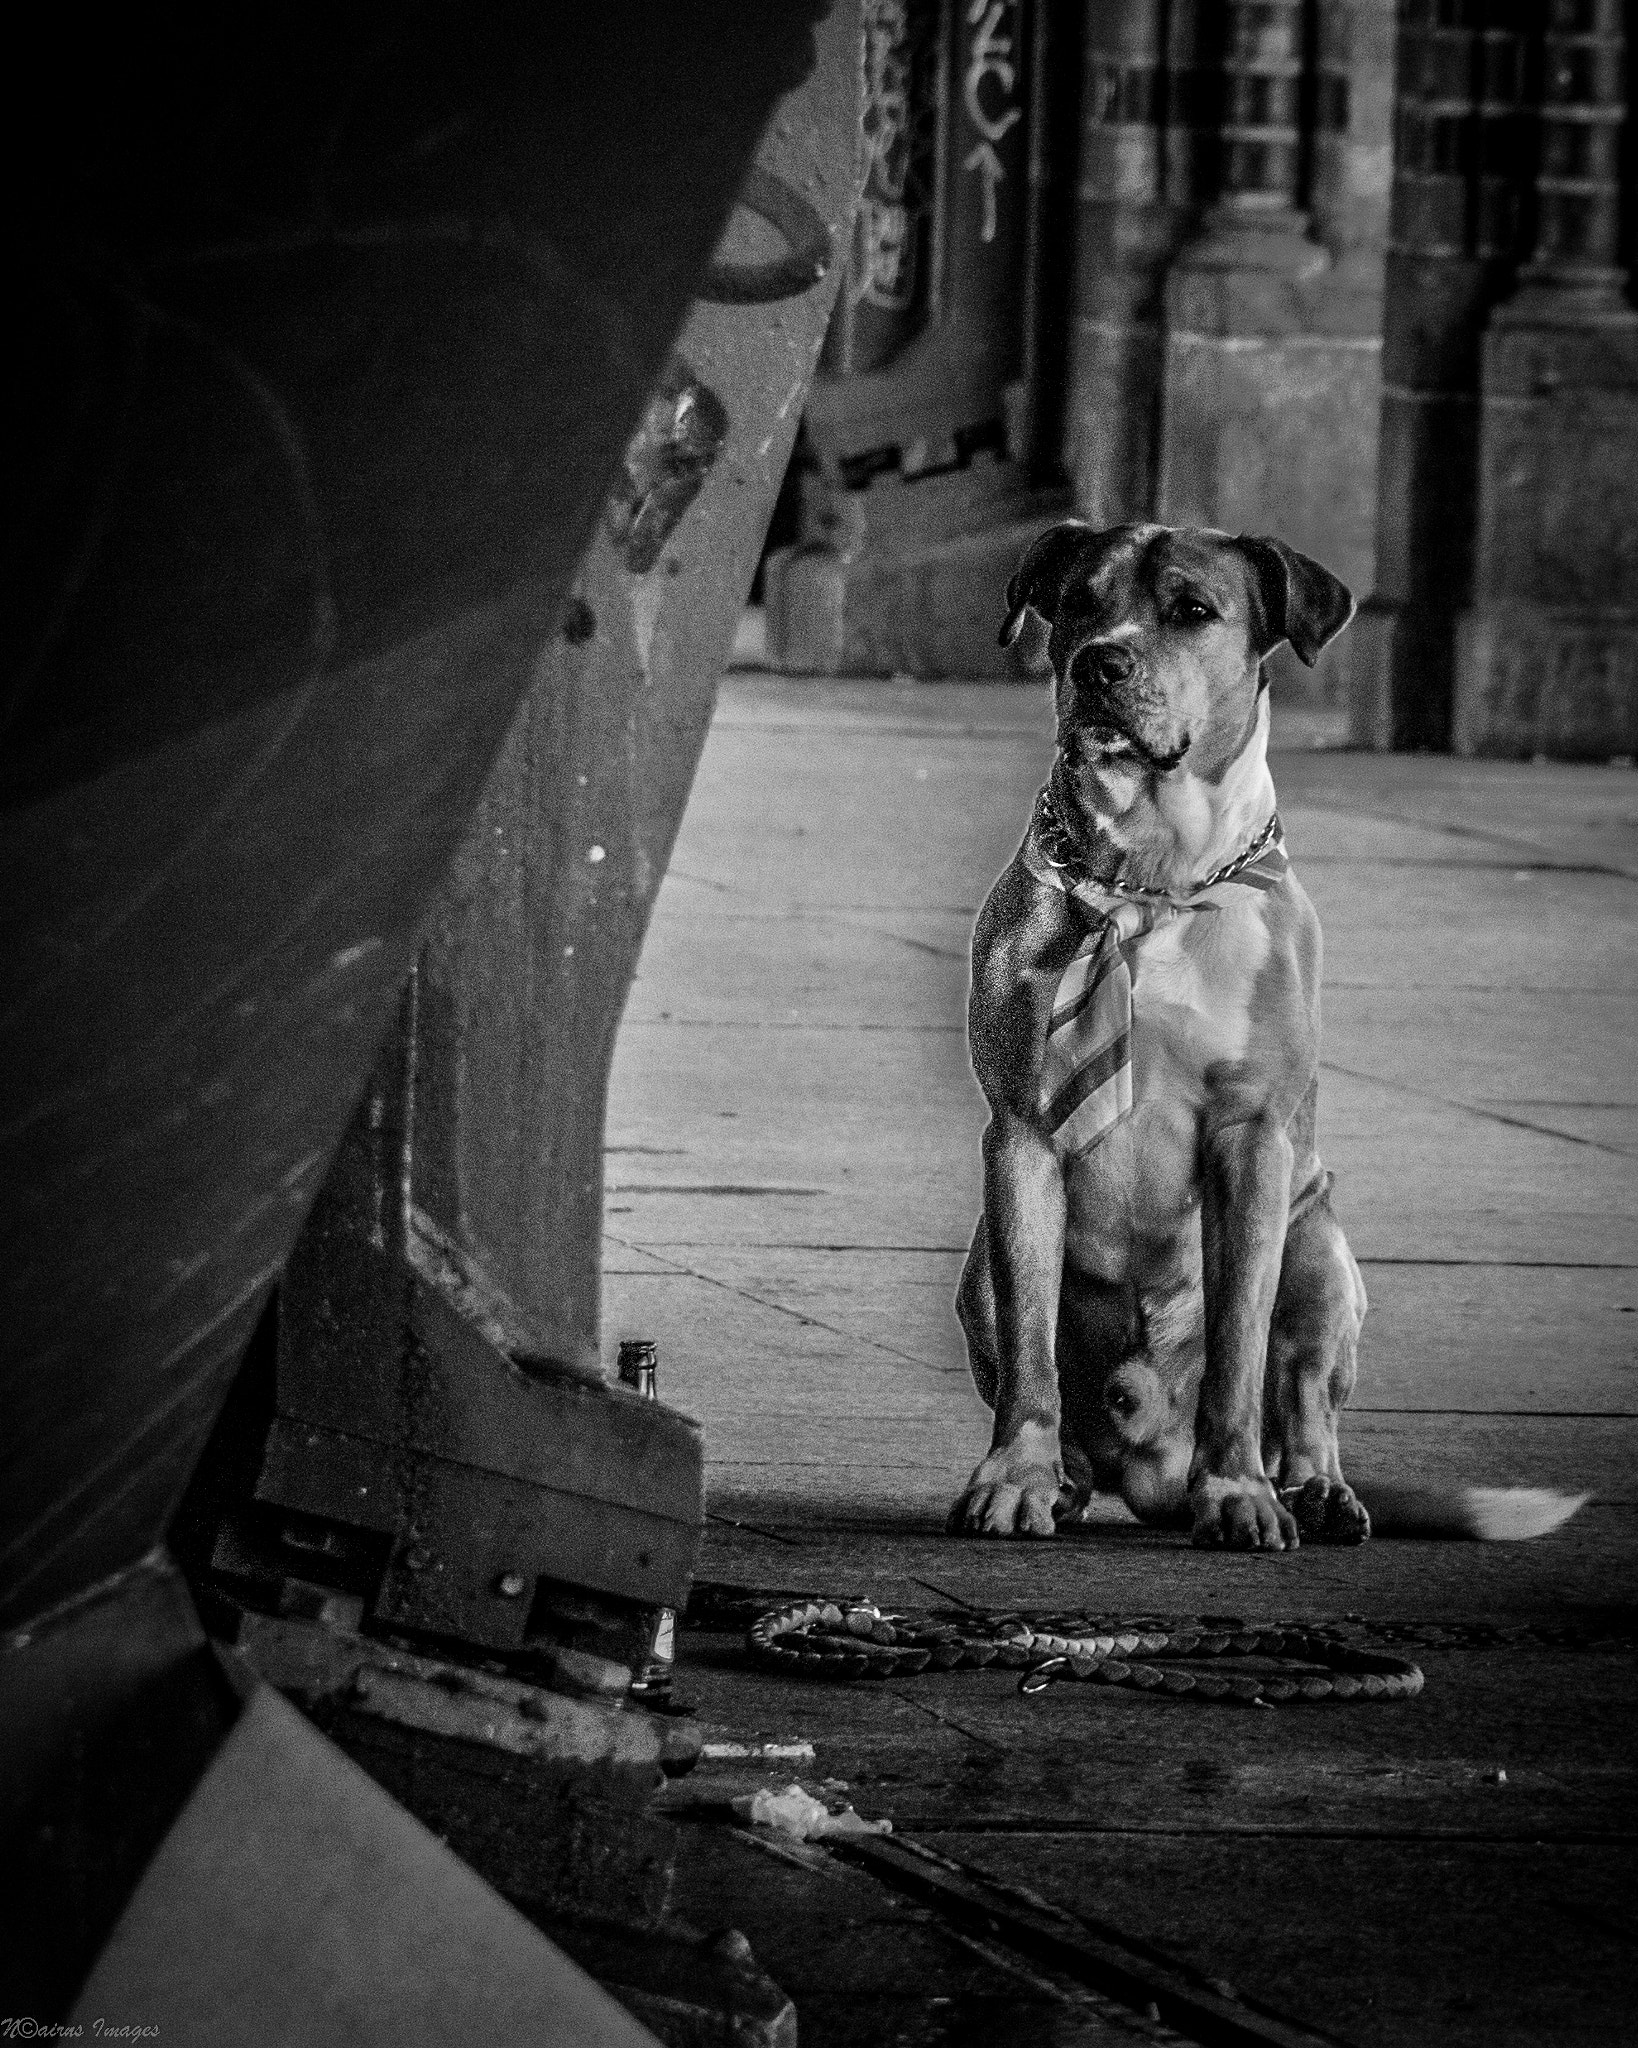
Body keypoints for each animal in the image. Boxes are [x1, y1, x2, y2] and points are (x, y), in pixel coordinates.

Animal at [954, 524, 1580, 1548]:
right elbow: (1030, 1348)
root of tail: (1151, 1463)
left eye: (1192, 610)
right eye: (1077, 602)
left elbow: (1242, 1348)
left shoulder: (1253, 1140)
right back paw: (1074, 1478)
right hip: (975, 1269)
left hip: (1321, 1247)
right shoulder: (1022, 1133)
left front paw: (1238, 1492)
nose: (1098, 663)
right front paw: (1017, 1477)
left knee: (1306, 1397)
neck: (1153, 877)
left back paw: (1311, 1491)